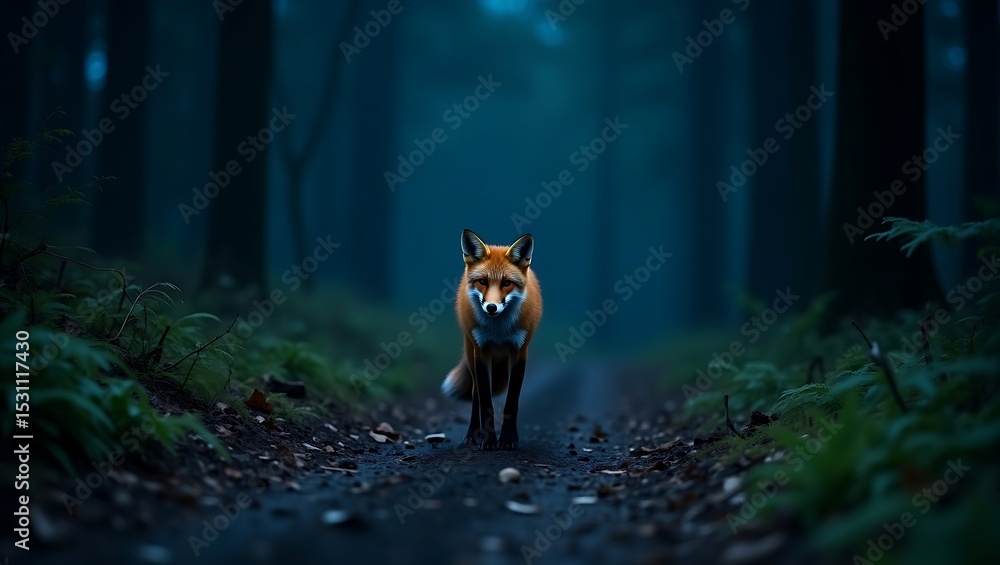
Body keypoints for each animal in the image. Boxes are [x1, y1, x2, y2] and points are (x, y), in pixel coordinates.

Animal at [441, 229, 542, 450]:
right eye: (483, 281)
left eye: (507, 283)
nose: (491, 307)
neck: (499, 332)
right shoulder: (482, 350)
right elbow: (485, 402)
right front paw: (488, 441)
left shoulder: (519, 351)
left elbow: (511, 402)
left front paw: (508, 439)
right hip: (470, 352)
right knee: (474, 395)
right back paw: (472, 435)